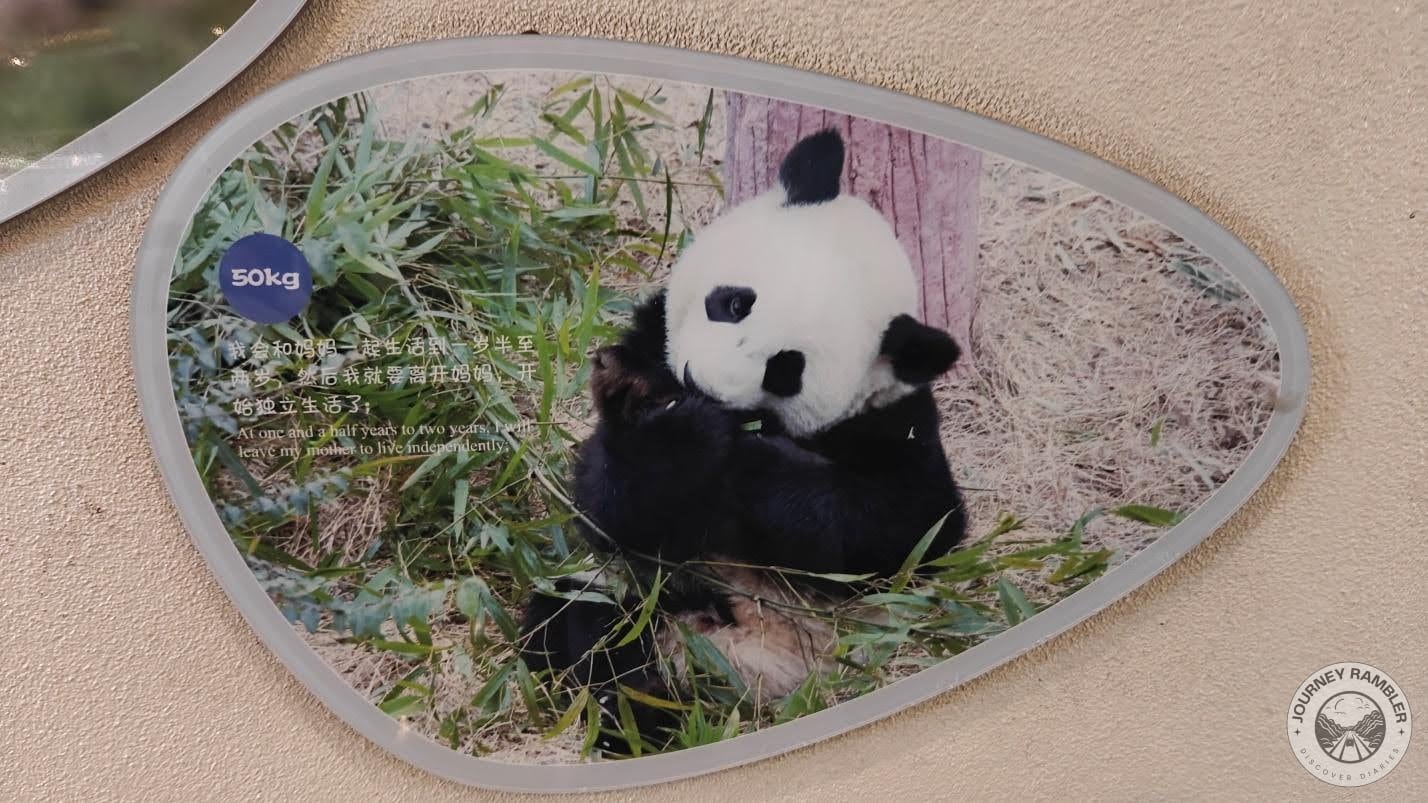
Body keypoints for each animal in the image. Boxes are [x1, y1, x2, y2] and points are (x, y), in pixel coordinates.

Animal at [521, 128, 967, 753]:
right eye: (735, 302)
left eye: (786, 368)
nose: (699, 382)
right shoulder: (649, 348)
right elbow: (611, 508)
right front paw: (673, 431)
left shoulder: (897, 422)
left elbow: (908, 530)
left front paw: (749, 456)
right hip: (646, 596)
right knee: (579, 621)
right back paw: (634, 706)